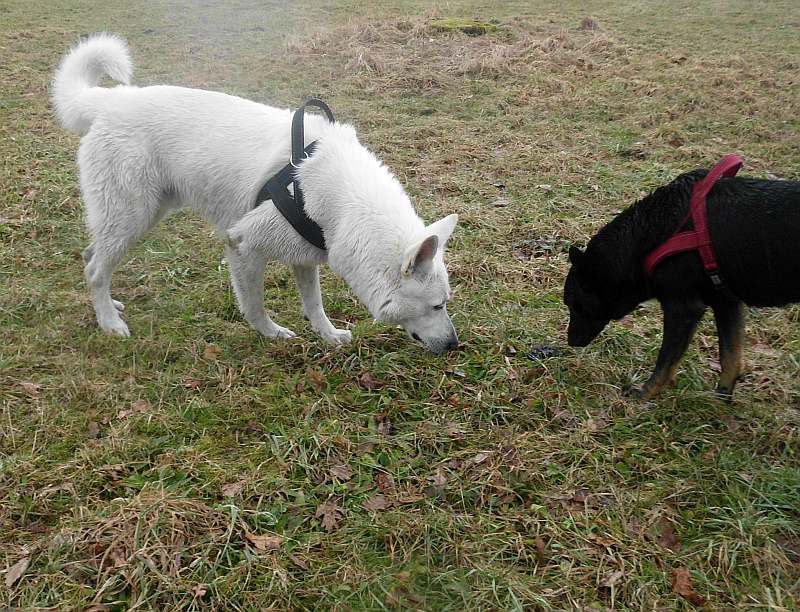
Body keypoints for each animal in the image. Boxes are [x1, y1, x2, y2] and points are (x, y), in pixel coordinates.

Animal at [51, 34, 462, 354]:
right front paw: (271, 334)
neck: (340, 199)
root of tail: (112, 100)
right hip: (130, 217)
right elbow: (254, 304)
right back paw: (109, 323)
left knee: (91, 256)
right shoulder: (242, 246)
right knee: (94, 268)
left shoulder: (305, 258)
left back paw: (111, 306)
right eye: (437, 306)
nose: (455, 345)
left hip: (139, 215)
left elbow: (314, 304)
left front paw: (328, 335)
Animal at [564, 164, 800, 402]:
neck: (653, 233)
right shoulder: (726, 303)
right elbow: (730, 358)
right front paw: (720, 398)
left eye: (574, 305)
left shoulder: (683, 309)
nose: (571, 341)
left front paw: (643, 395)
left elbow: (664, 363)